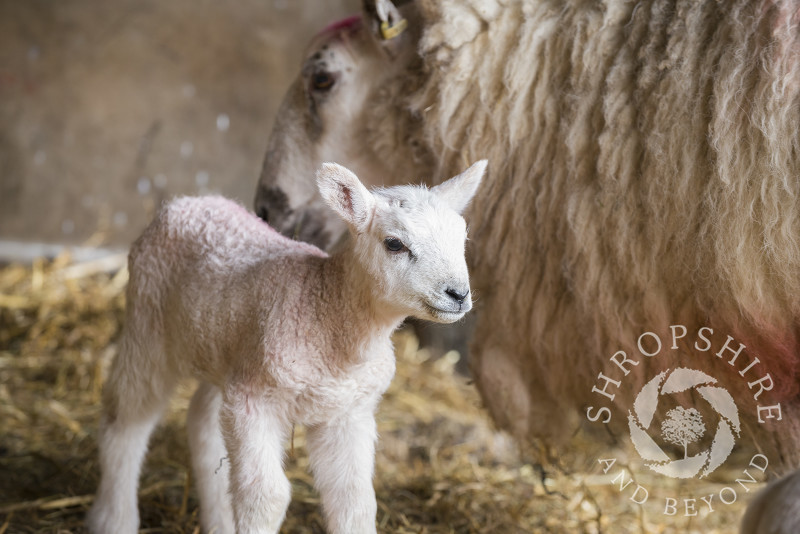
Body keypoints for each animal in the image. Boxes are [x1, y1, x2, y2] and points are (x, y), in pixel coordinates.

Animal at [88, 160, 488, 534]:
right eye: (394, 244)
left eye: (462, 238)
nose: (458, 293)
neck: (327, 311)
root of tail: (189, 201)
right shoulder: (254, 402)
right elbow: (268, 496)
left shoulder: (347, 412)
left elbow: (354, 499)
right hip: (148, 325)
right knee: (124, 422)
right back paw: (114, 519)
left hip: (224, 350)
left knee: (202, 423)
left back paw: (218, 520)